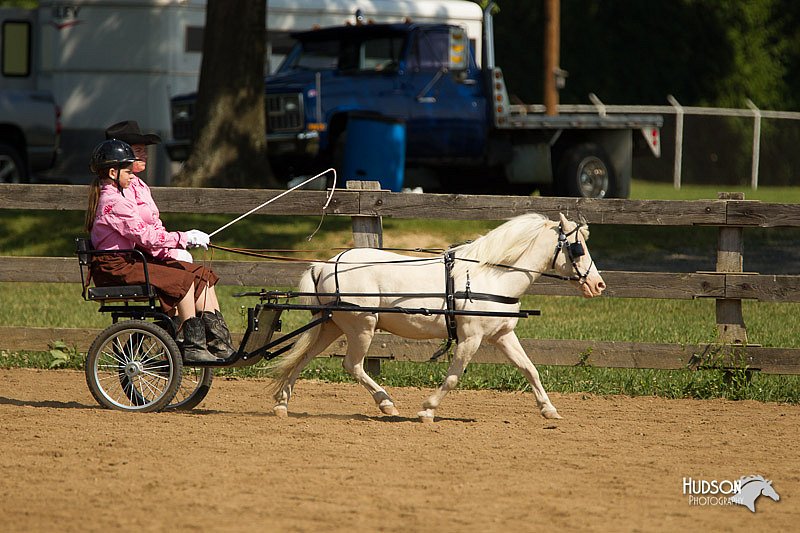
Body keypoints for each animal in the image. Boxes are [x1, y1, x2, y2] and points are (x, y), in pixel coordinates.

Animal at [266, 212, 604, 420]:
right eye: (577, 247)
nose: (598, 285)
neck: (491, 277)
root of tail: (326, 263)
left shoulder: (502, 335)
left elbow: (530, 369)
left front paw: (549, 410)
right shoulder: (471, 338)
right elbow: (454, 376)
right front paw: (427, 409)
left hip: (333, 325)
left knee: (304, 356)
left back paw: (282, 403)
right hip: (361, 327)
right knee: (353, 365)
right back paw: (386, 403)